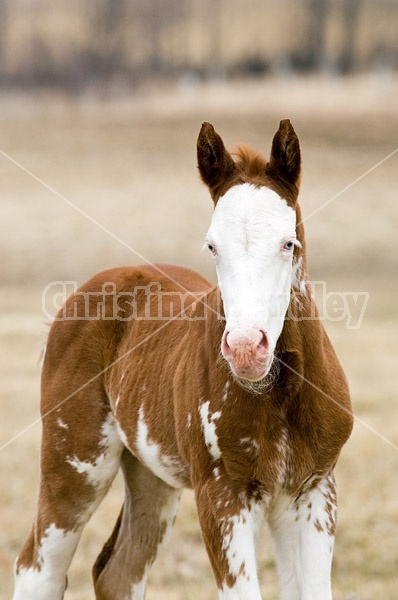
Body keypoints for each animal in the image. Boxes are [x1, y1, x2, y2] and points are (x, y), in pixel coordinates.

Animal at [14, 119, 352, 596]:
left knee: (119, 571)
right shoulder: (223, 496)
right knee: (38, 568)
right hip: (76, 461)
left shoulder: (313, 492)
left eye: (289, 243)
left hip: (150, 473)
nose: (246, 348)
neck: (279, 395)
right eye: (212, 246)